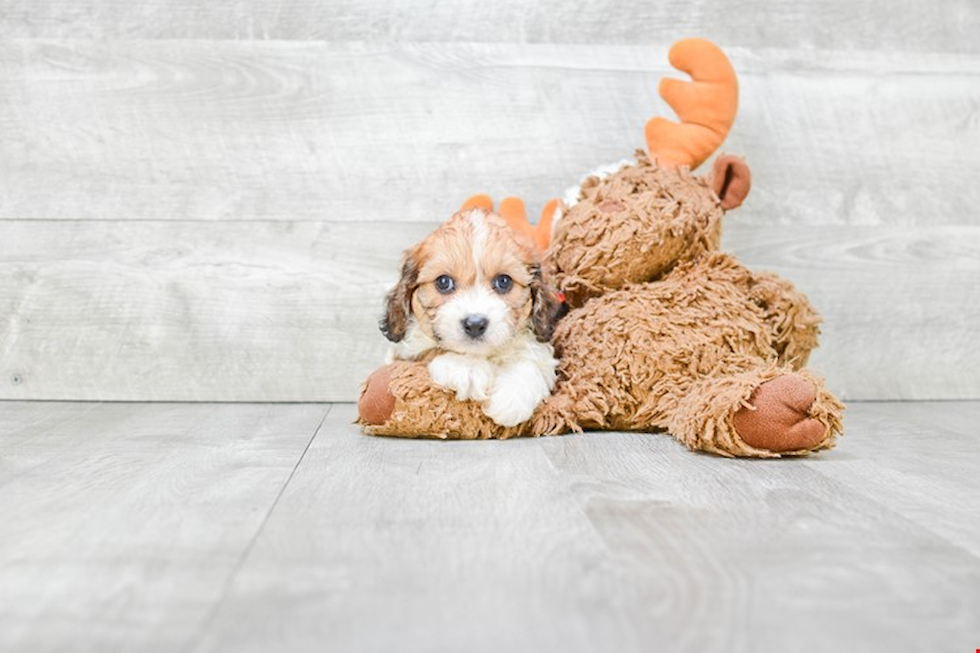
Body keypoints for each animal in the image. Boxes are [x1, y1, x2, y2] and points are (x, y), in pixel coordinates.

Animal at [378, 206, 560, 426]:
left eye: (504, 281)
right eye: (443, 282)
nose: (475, 324)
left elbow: (531, 361)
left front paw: (512, 398)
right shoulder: (403, 354)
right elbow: (430, 351)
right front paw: (466, 366)